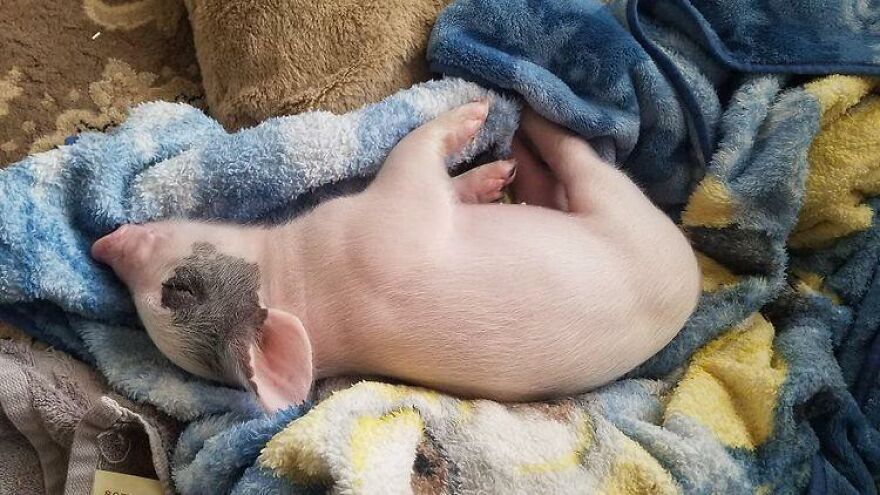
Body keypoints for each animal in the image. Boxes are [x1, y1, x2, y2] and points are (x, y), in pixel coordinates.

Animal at [91, 102, 701, 412]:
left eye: (176, 290)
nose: (102, 245)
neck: (299, 280)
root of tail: (693, 282)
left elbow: (451, 186)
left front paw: (486, 179)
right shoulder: (391, 216)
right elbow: (413, 157)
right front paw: (480, 110)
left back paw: (512, 167)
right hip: (625, 211)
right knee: (581, 164)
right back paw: (530, 124)